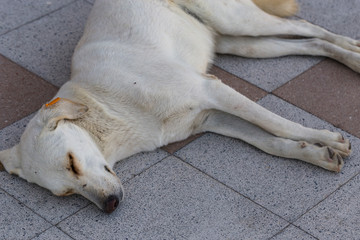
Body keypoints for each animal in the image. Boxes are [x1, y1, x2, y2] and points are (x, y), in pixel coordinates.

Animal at [0, 0, 358, 214]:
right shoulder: (211, 119)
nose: (110, 205)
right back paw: (348, 54)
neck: (106, 105)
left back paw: (353, 51)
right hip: (242, 43)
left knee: (307, 26)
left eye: (72, 163)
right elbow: (268, 141)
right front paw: (314, 153)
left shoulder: (211, 90)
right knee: (313, 42)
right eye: (64, 194)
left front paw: (325, 138)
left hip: (241, 22)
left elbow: (277, 123)